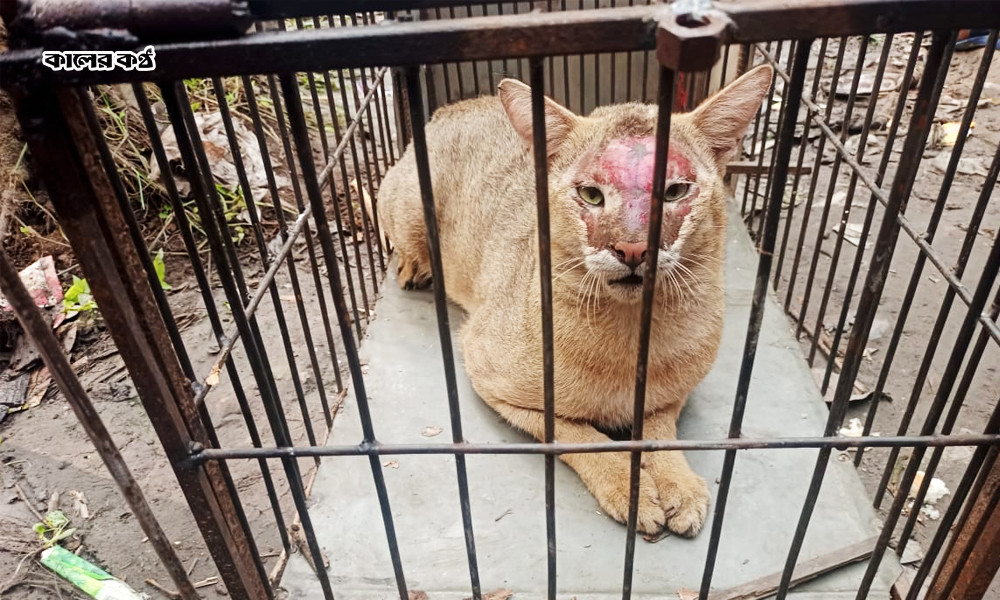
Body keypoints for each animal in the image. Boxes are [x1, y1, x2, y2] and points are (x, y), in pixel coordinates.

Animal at [376, 64, 772, 536]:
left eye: (675, 191)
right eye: (591, 194)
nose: (632, 249)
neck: (629, 342)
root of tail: (452, 107)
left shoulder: (677, 392)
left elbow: (659, 427)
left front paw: (677, 482)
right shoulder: (487, 371)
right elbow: (576, 434)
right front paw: (629, 487)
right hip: (407, 210)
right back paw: (413, 268)